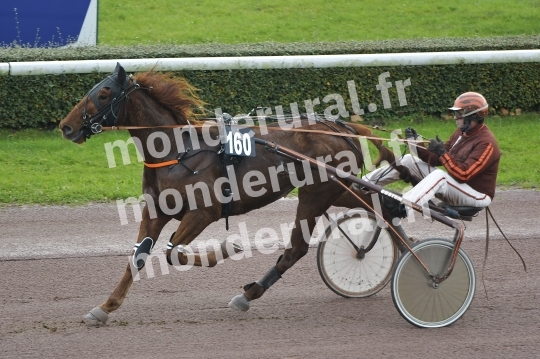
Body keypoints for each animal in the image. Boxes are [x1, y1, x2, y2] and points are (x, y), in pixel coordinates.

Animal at [59, 63, 394, 324]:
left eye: (104, 94)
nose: (65, 127)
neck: (178, 151)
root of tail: (343, 129)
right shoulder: (156, 210)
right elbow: (139, 255)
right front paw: (105, 308)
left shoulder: (203, 212)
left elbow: (173, 253)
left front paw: (227, 248)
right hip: (335, 189)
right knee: (379, 206)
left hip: (316, 193)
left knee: (297, 248)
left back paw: (250, 293)